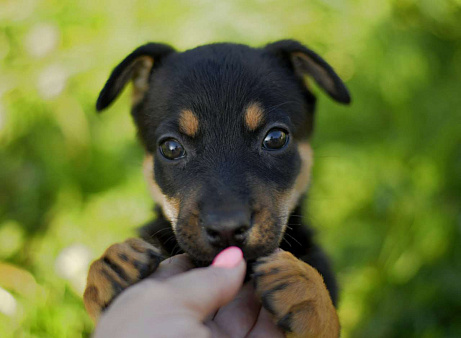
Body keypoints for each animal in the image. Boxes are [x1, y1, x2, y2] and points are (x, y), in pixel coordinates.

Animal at [82, 40, 348, 338]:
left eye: (276, 138)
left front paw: (305, 290)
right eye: (170, 147)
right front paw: (109, 268)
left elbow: (328, 317)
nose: (227, 229)